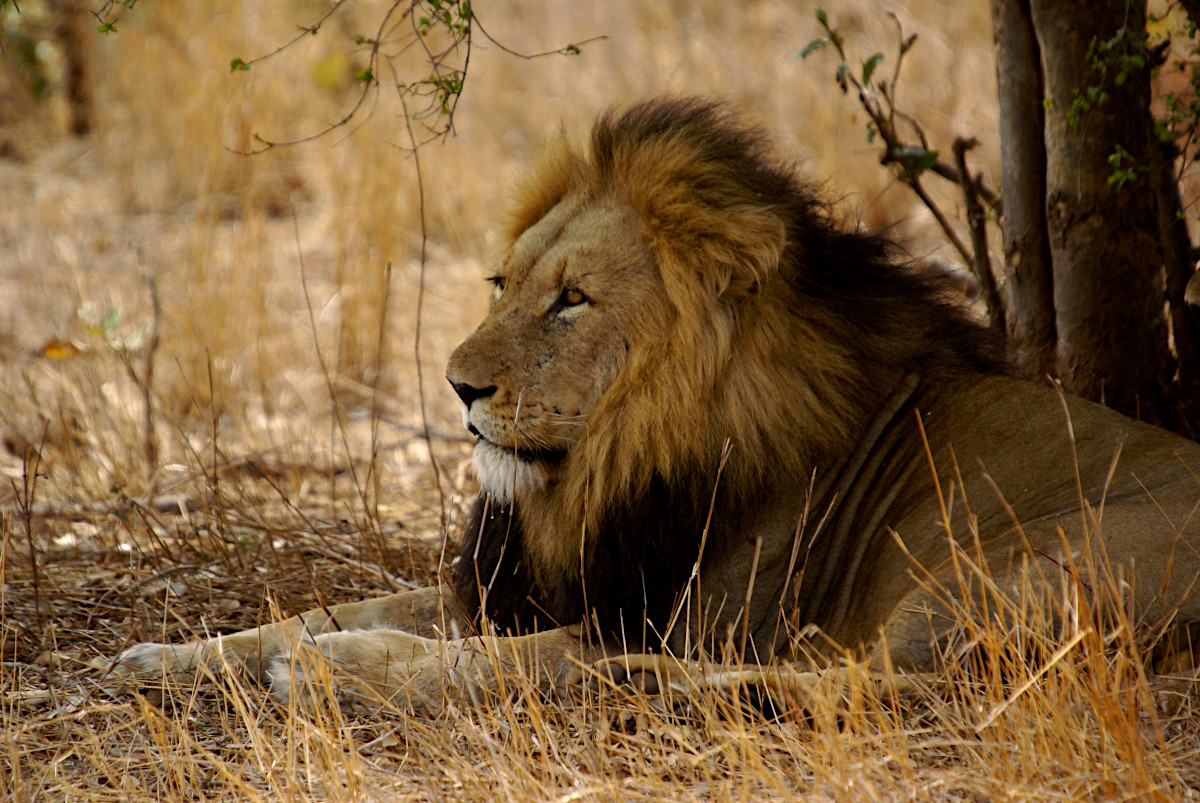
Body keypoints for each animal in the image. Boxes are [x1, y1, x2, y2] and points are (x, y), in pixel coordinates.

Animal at [112, 98, 1200, 705]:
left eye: (573, 300)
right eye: (502, 284)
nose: (458, 384)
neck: (615, 457)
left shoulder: (673, 615)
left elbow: (499, 659)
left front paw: (336, 665)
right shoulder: (528, 585)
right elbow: (317, 606)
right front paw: (165, 653)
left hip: (1006, 571)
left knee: (855, 682)